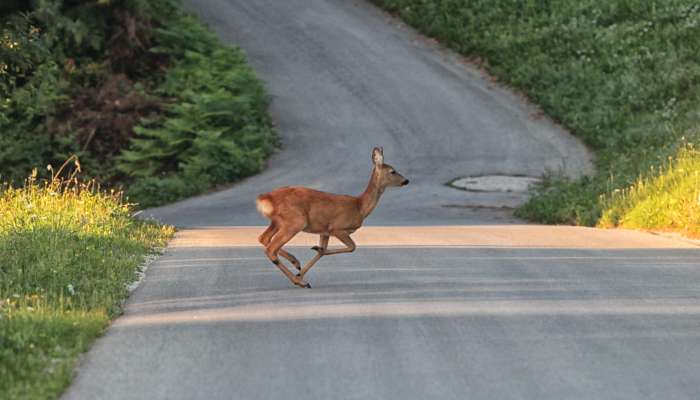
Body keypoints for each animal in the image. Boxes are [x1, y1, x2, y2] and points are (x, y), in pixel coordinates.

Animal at [256, 147, 410, 288]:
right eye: (393, 171)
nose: (406, 180)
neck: (360, 207)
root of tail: (265, 198)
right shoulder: (337, 228)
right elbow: (352, 247)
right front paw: (301, 274)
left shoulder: (324, 231)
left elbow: (322, 252)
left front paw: (306, 264)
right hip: (295, 221)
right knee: (271, 248)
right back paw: (299, 280)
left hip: (277, 221)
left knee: (264, 238)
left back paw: (296, 265)